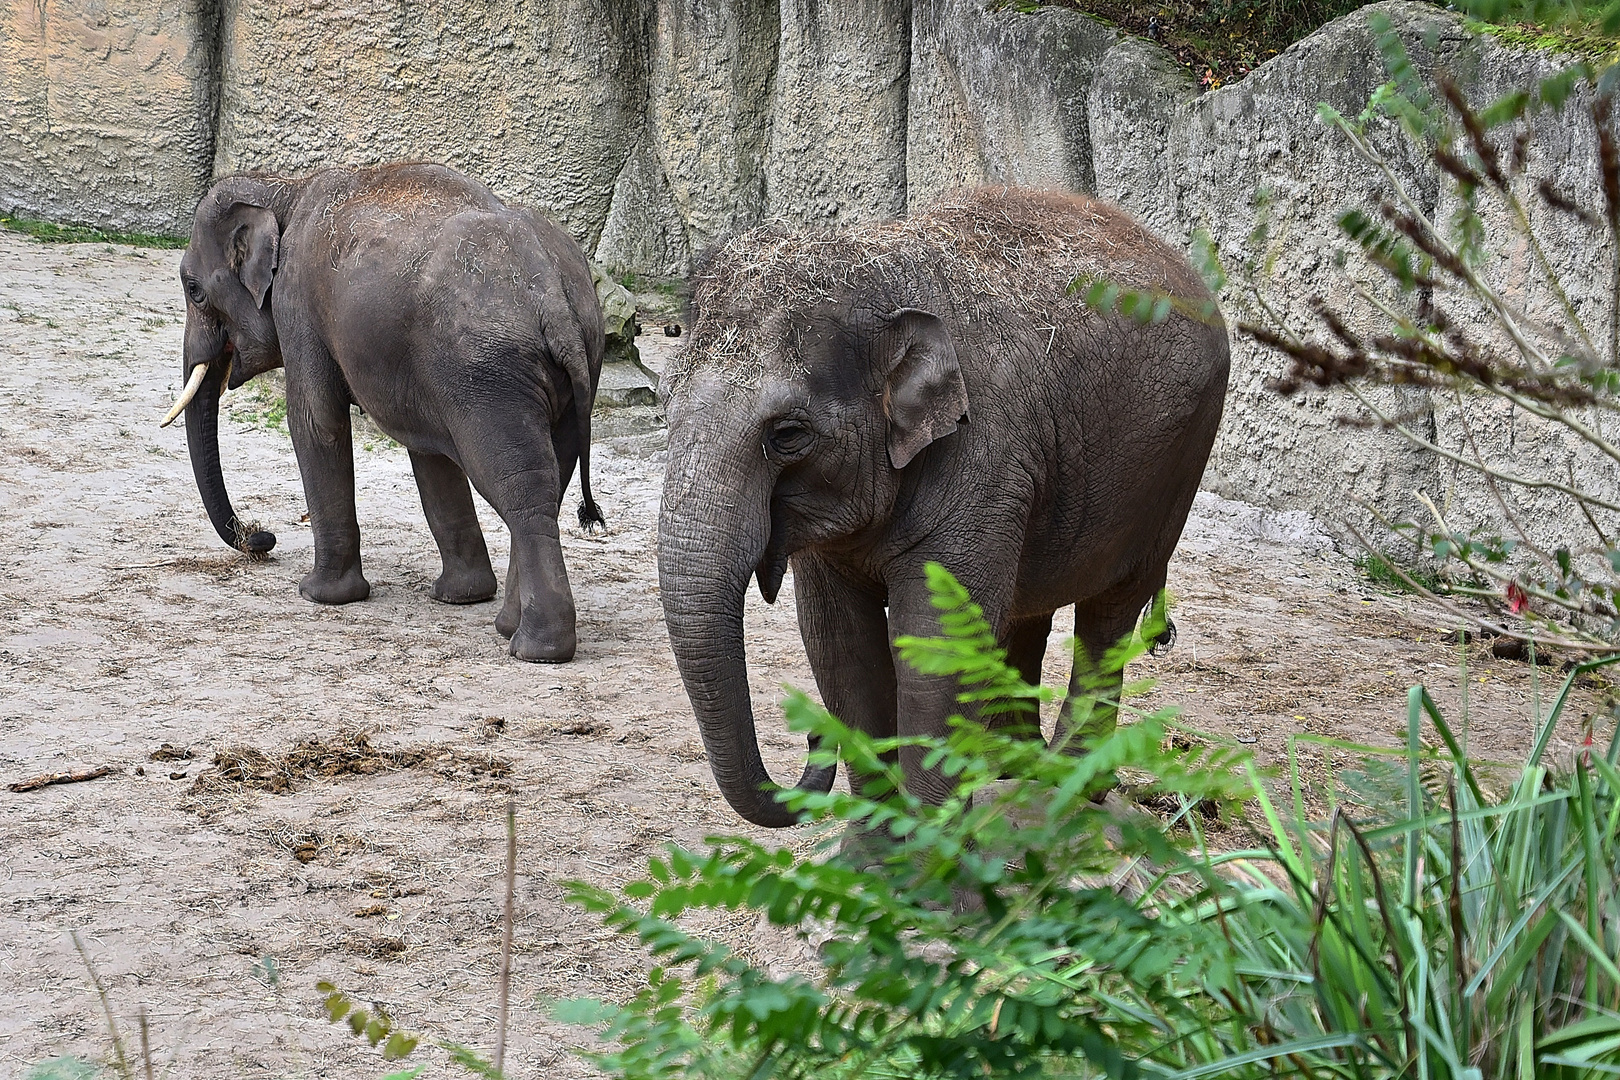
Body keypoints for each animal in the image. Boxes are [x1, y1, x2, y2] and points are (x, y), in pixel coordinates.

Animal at [161, 163, 605, 663]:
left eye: (194, 290)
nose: (263, 537)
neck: (283, 188)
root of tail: (555, 298)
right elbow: (428, 453)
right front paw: (460, 596)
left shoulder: (298, 302)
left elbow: (316, 421)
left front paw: (319, 595)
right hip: (564, 369)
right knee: (550, 481)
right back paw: (507, 626)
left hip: (490, 374)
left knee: (522, 488)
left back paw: (535, 649)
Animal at [657, 187, 1224, 829]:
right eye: (664, 406)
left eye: (788, 434)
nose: (811, 742)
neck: (876, 267)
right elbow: (838, 645)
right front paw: (877, 839)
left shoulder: (982, 459)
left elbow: (935, 644)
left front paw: (928, 844)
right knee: (1028, 606)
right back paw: (1013, 766)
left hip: (1175, 465)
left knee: (1111, 611)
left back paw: (1071, 785)